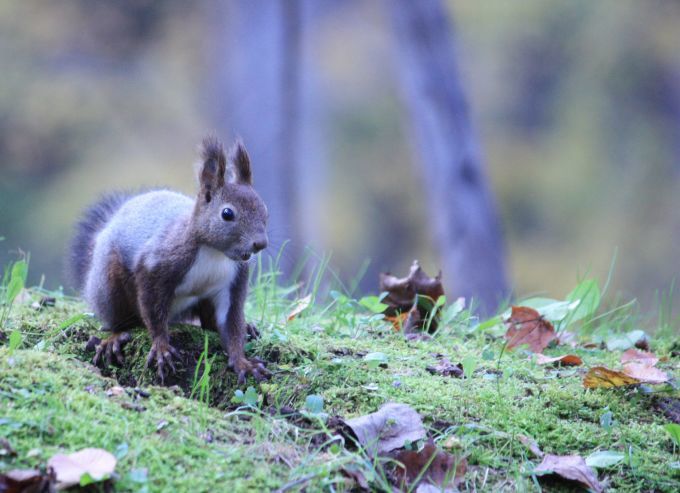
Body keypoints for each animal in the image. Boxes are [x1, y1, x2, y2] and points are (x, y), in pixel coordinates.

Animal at [69, 136, 270, 382]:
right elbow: (153, 310)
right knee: (117, 317)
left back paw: (247, 328)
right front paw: (162, 349)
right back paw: (115, 337)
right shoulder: (156, 265)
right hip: (108, 285)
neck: (214, 252)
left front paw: (243, 362)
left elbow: (231, 323)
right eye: (227, 214)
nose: (260, 243)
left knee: (209, 323)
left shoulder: (234, 278)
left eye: (265, 210)